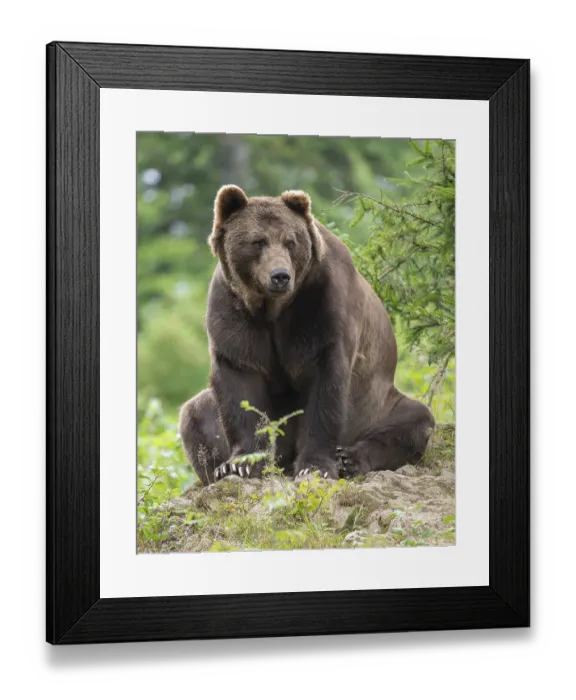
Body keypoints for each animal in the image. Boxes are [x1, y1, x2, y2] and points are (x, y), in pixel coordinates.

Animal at [179, 185, 435, 485]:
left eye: (290, 241)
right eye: (258, 241)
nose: (280, 275)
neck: (272, 308)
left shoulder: (321, 305)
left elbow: (324, 385)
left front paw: (315, 466)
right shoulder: (233, 311)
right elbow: (239, 383)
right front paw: (240, 464)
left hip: (376, 406)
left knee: (415, 420)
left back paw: (348, 458)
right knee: (195, 412)